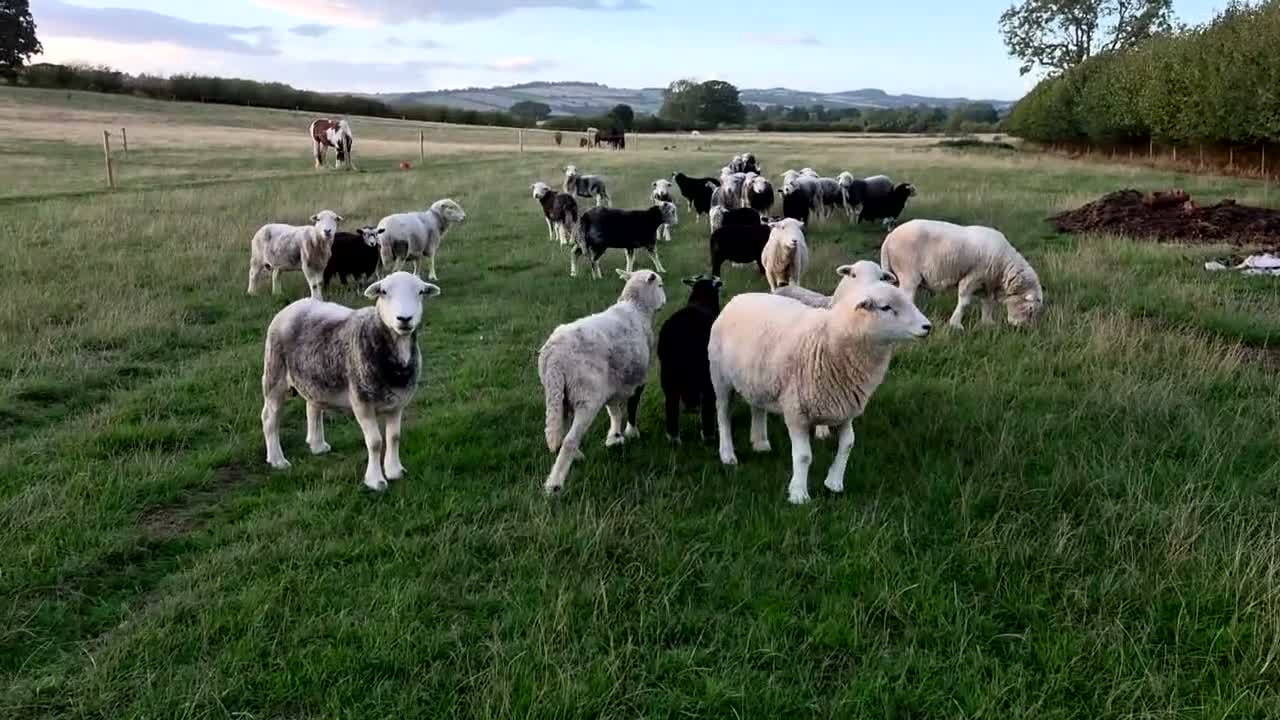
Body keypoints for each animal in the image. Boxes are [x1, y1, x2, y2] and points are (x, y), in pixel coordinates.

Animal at [260, 271, 442, 492]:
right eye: (383, 292)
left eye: (421, 292)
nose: (404, 319)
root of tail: (295, 305)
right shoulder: (362, 402)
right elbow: (375, 442)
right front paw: (376, 481)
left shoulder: (397, 403)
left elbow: (394, 437)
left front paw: (395, 471)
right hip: (274, 373)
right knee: (269, 418)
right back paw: (277, 460)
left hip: (314, 376)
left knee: (312, 406)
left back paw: (317, 445)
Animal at [539, 269, 666, 494]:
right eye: (660, 285)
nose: (664, 302)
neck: (636, 308)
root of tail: (554, 358)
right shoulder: (639, 377)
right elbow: (632, 406)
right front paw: (631, 433)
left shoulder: (611, 384)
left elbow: (614, 411)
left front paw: (614, 437)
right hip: (586, 396)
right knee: (570, 439)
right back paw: (555, 484)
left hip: (559, 395)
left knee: (559, 433)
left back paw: (575, 457)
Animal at [657, 275, 722, 444]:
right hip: (705, 371)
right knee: (708, 402)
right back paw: (709, 436)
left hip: (668, 373)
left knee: (671, 403)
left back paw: (673, 438)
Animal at [708, 279, 932, 504]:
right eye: (886, 307)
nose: (927, 326)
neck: (831, 339)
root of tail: (739, 297)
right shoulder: (796, 411)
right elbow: (804, 456)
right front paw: (799, 494)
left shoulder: (845, 407)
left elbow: (848, 443)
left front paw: (834, 483)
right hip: (720, 378)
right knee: (723, 415)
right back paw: (727, 454)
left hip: (759, 378)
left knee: (757, 407)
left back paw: (760, 443)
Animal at [880, 219, 1044, 331]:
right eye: (1030, 310)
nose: (1020, 328)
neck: (1004, 266)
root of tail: (889, 238)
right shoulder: (974, 276)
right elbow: (965, 301)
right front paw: (956, 324)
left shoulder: (986, 283)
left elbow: (987, 303)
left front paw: (987, 323)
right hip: (908, 273)